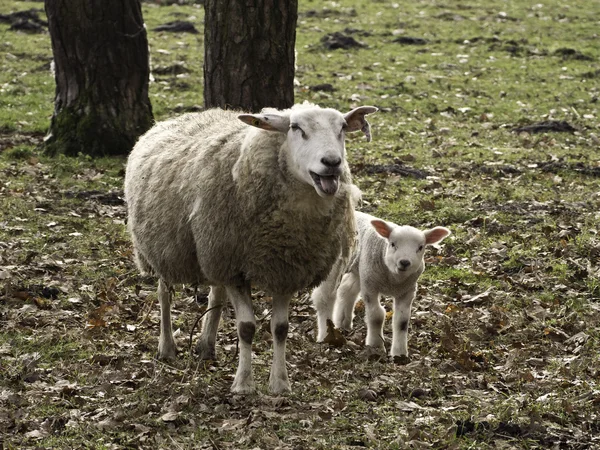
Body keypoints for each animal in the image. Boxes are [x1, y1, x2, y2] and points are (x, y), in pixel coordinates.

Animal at [124, 102, 378, 394]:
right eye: (296, 128)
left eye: (343, 128)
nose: (332, 163)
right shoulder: (235, 269)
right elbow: (246, 328)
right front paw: (243, 384)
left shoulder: (284, 269)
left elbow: (280, 328)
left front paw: (280, 384)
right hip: (165, 248)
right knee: (164, 294)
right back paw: (166, 347)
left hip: (213, 250)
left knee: (215, 295)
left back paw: (206, 346)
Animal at [312, 212, 448, 358]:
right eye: (393, 244)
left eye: (420, 247)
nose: (404, 262)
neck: (393, 280)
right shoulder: (370, 286)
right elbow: (376, 316)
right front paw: (375, 345)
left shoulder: (407, 291)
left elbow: (402, 321)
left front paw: (399, 353)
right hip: (335, 264)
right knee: (324, 298)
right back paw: (326, 334)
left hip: (360, 269)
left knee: (346, 289)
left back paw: (343, 323)